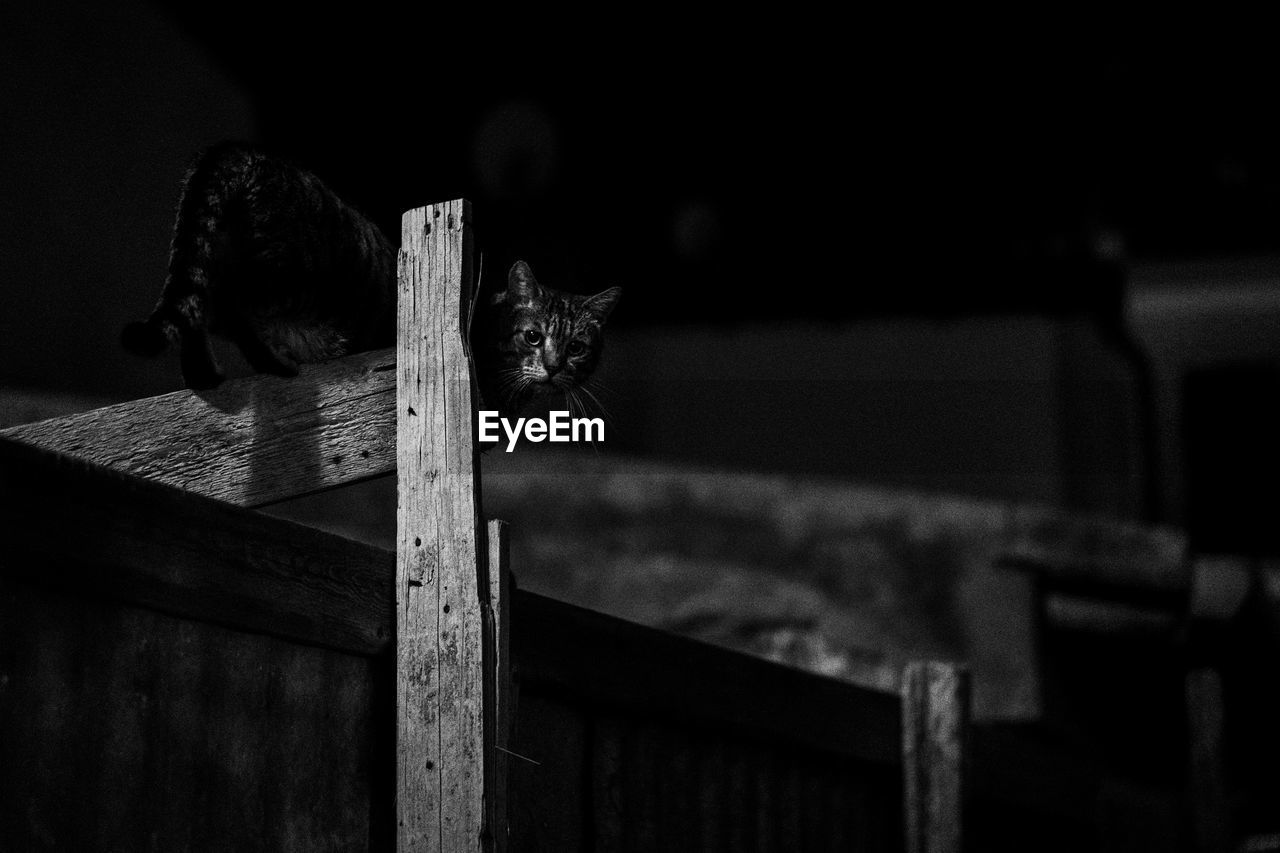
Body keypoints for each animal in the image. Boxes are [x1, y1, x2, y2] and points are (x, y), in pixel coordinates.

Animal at [122, 140, 622, 417]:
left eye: (577, 347)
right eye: (533, 337)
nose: (554, 365)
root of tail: (240, 150)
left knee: (195, 310)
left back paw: (204, 374)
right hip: (283, 277)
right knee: (228, 312)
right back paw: (271, 363)